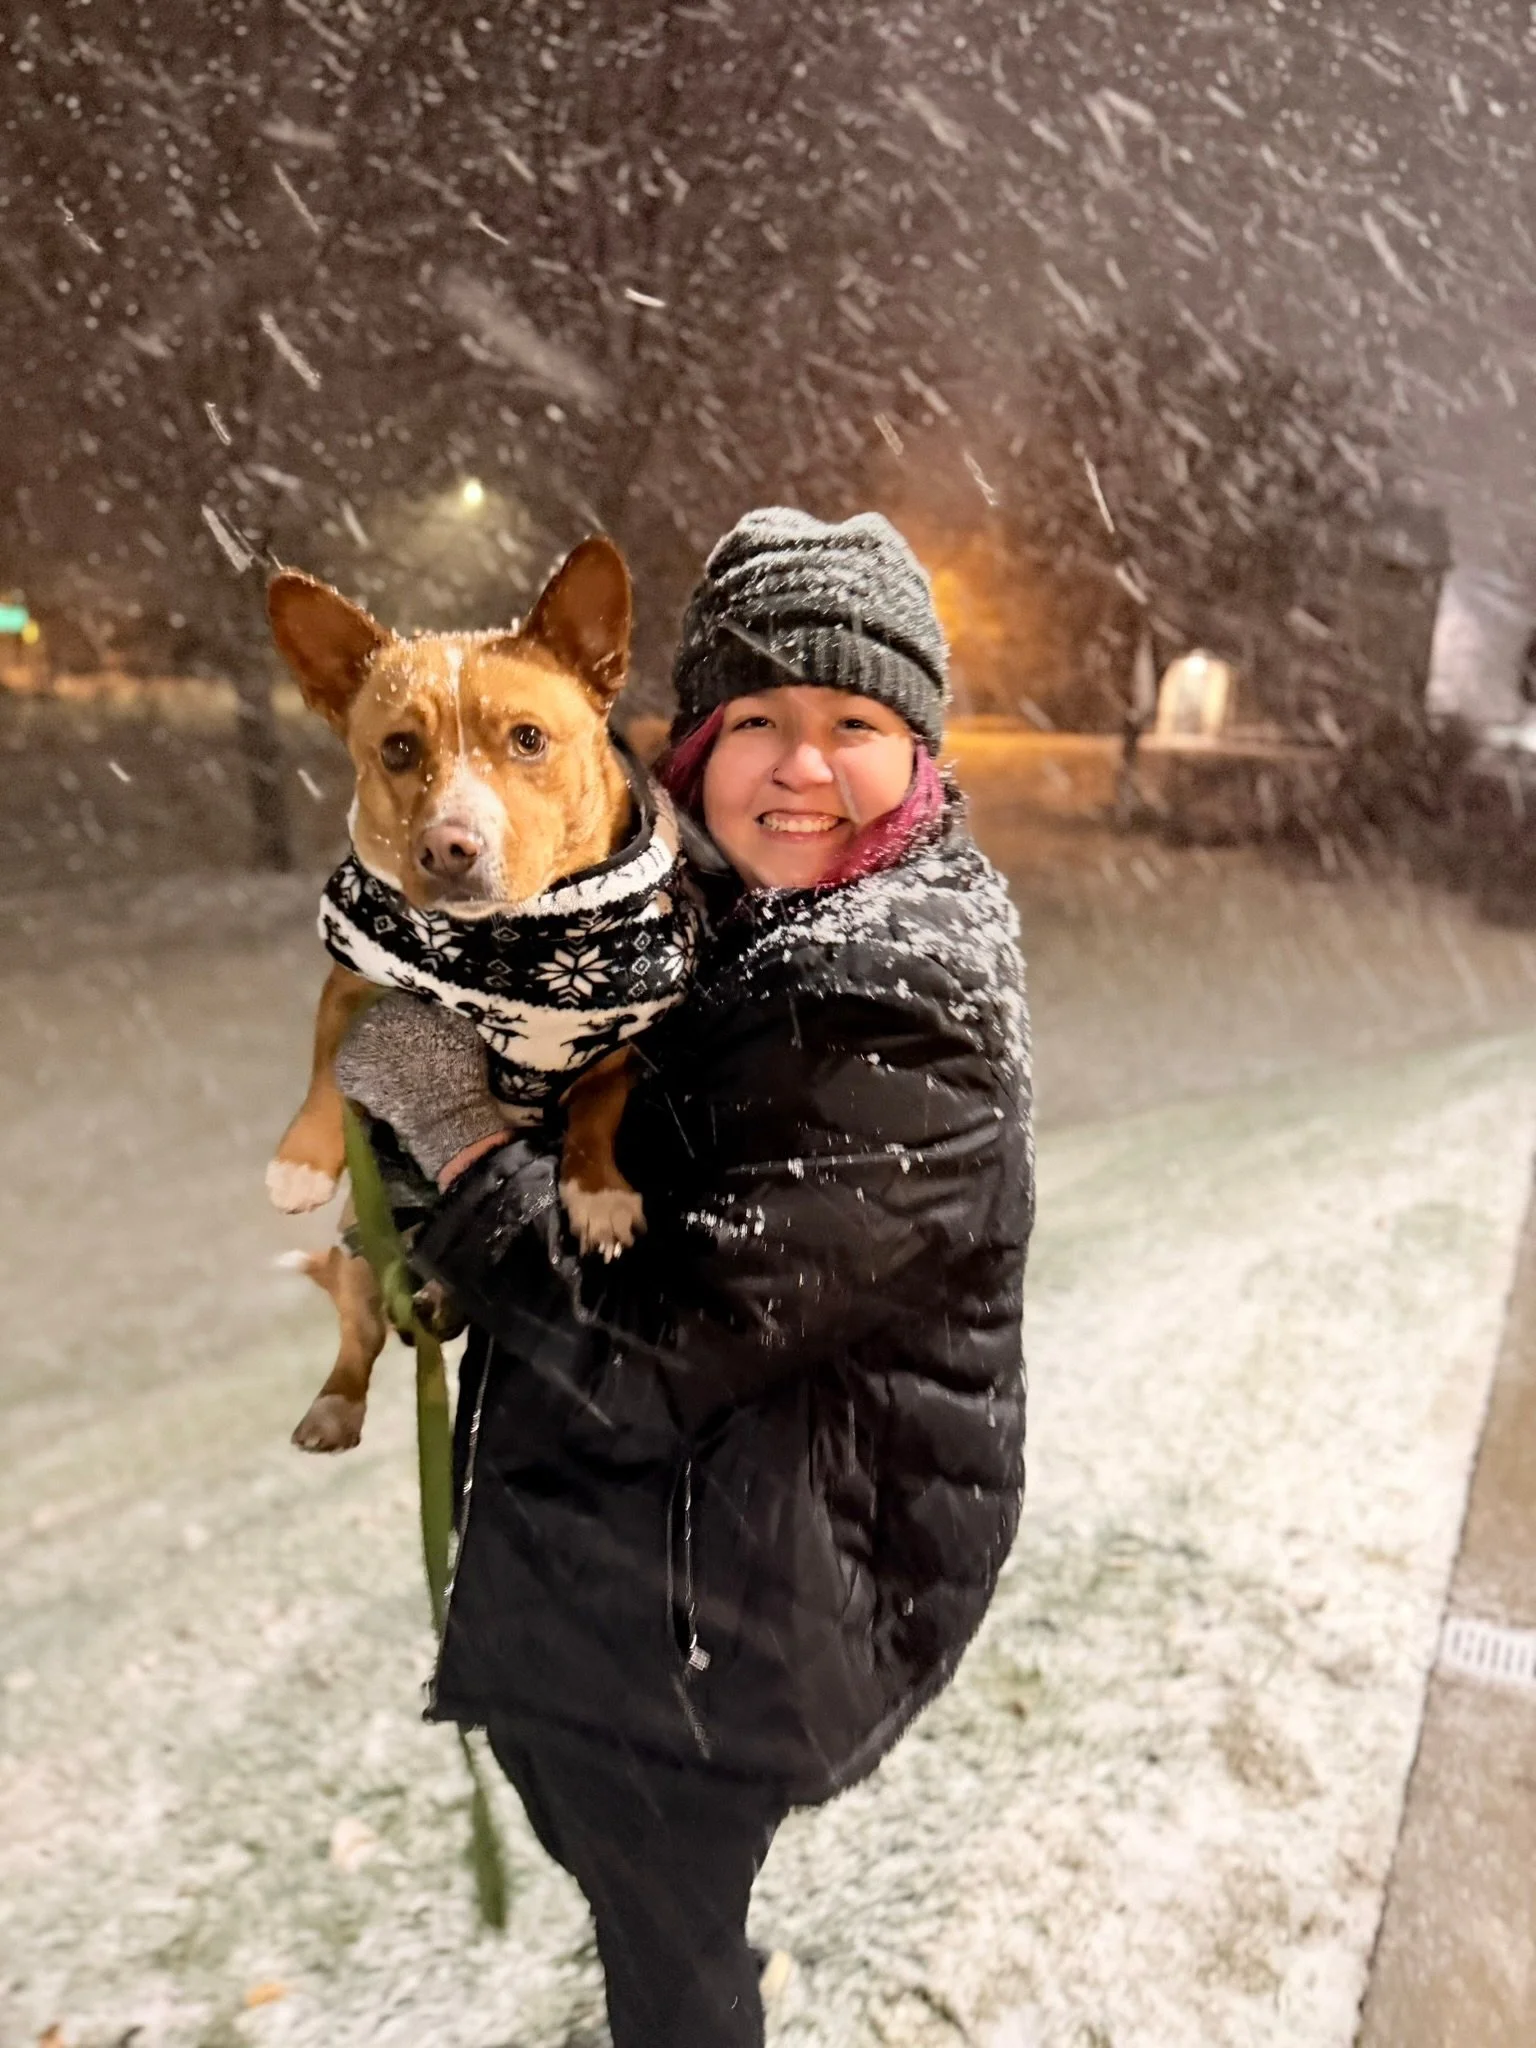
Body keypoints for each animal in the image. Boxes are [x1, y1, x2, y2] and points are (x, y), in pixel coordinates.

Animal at [265, 536, 695, 1452]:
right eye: (397, 750)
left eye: (528, 739)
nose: (449, 848)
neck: (519, 945)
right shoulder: (353, 979)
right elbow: (327, 1069)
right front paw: (300, 1162)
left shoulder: (623, 1033)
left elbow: (596, 1108)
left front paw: (596, 1193)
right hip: (360, 1252)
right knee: (357, 1333)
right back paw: (336, 1402)